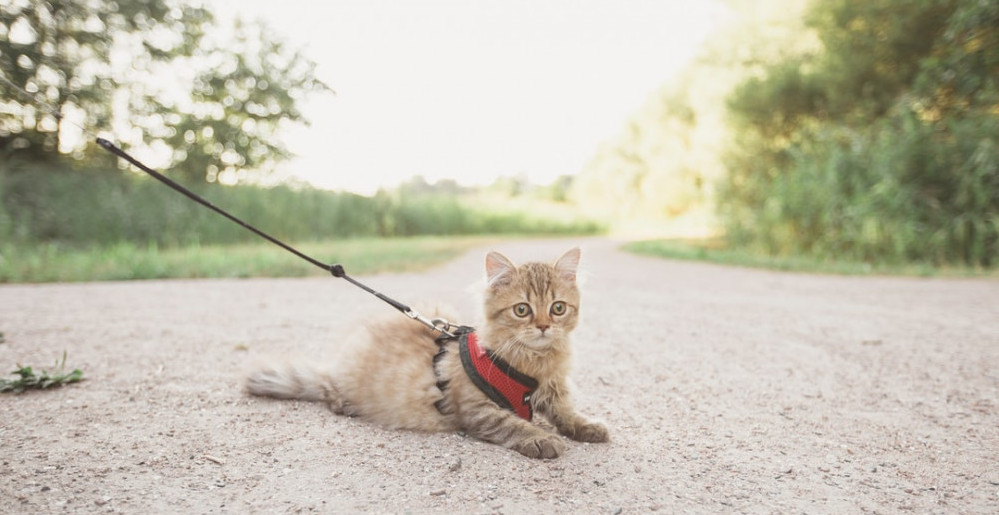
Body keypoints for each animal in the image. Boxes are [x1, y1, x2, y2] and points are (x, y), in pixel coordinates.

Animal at [248, 248, 608, 458]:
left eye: (558, 308)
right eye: (522, 310)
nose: (544, 326)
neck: (535, 365)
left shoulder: (553, 391)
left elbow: (567, 413)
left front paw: (587, 427)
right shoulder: (478, 409)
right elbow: (513, 425)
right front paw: (540, 439)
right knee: (327, 390)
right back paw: (344, 403)